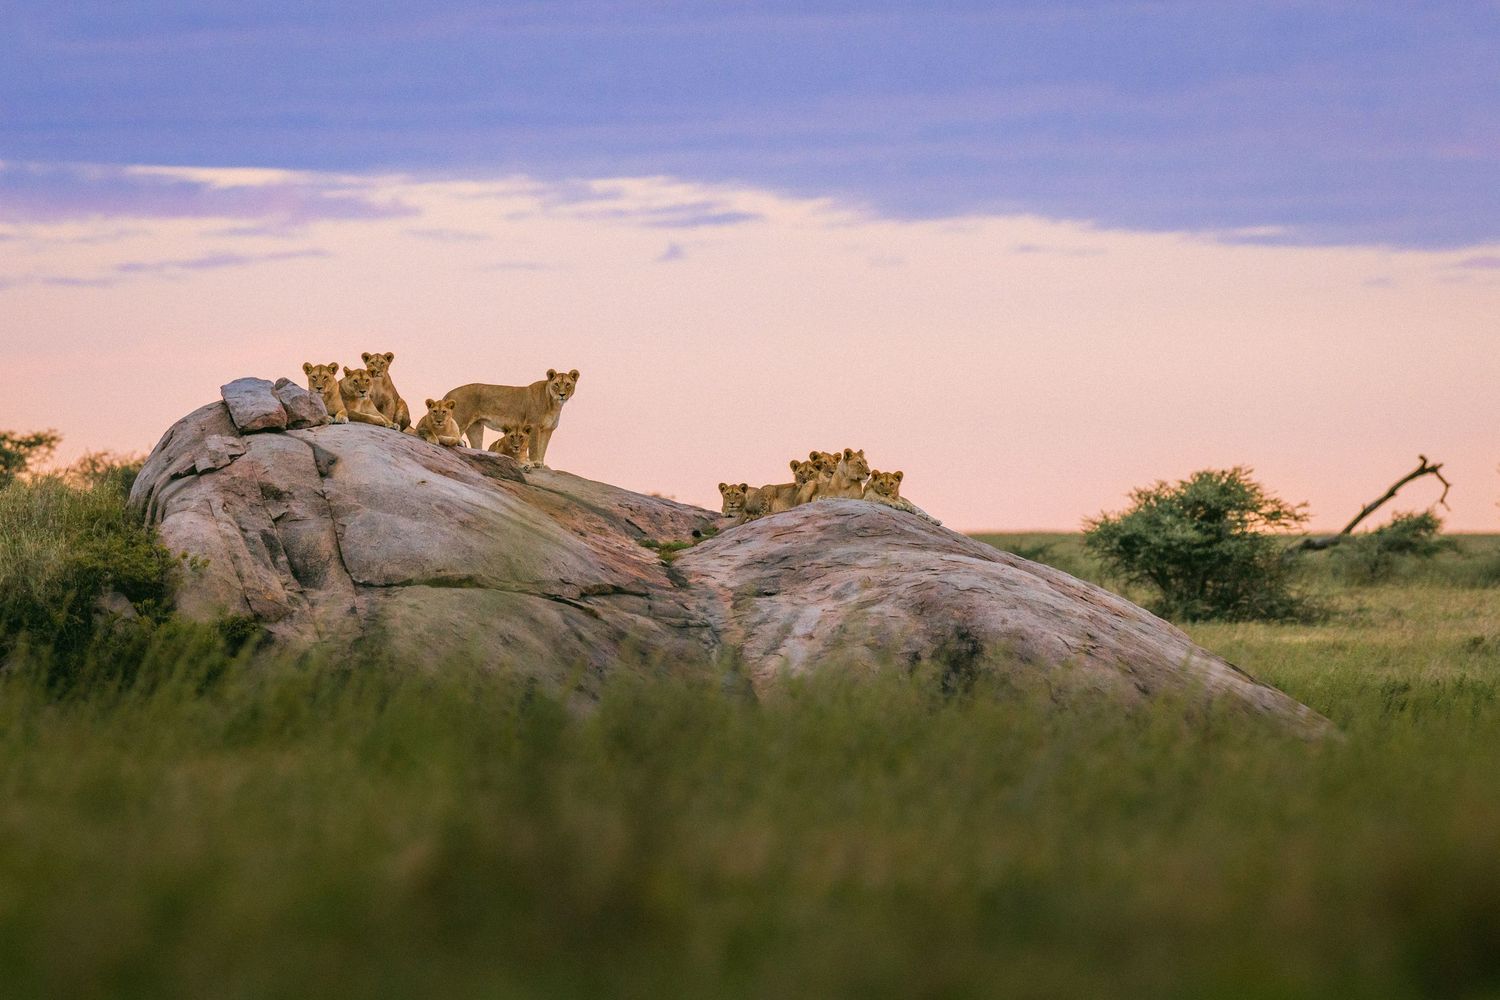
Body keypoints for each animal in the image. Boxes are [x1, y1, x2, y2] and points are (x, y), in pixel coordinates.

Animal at [444, 368, 579, 466]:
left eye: (568, 384)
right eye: (556, 384)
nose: (562, 394)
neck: (554, 405)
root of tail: (449, 393)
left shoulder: (548, 429)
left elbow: (543, 447)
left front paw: (540, 463)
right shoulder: (534, 425)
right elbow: (534, 447)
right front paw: (534, 462)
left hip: (476, 427)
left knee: (477, 447)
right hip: (460, 420)